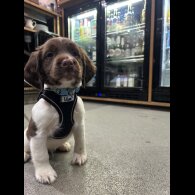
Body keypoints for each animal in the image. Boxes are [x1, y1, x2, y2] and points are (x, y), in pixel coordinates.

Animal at [24, 37, 96, 184]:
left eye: (75, 53)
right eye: (49, 54)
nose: (68, 62)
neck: (63, 97)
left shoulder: (79, 125)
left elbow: (80, 142)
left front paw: (79, 156)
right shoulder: (37, 133)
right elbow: (41, 155)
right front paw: (45, 172)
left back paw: (63, 145)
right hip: (25, 135)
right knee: (28, 149)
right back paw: (25, 154)